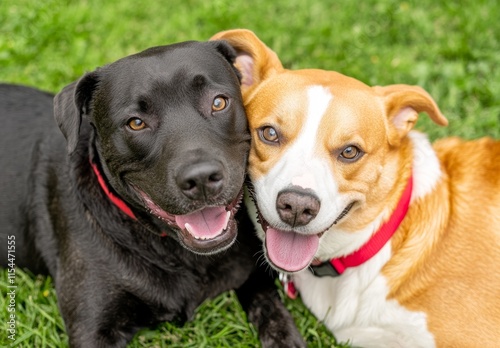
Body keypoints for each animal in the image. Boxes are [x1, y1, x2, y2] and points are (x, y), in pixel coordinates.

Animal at [0, 41, 304, 348]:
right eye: (136, 123)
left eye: (218, 102)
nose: (201, 178)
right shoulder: (92, 327)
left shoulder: (254, 276)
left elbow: (274, 315)